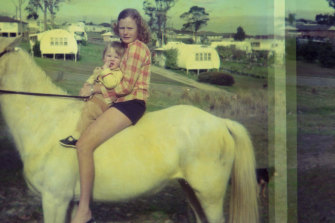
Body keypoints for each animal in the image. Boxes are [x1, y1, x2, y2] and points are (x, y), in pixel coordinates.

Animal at [0, 37, 260, 223]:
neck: (47, 121)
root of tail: (220, 121)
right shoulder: (68, 202)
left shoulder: (55, 200)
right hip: (192, 191)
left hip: (210, 195)